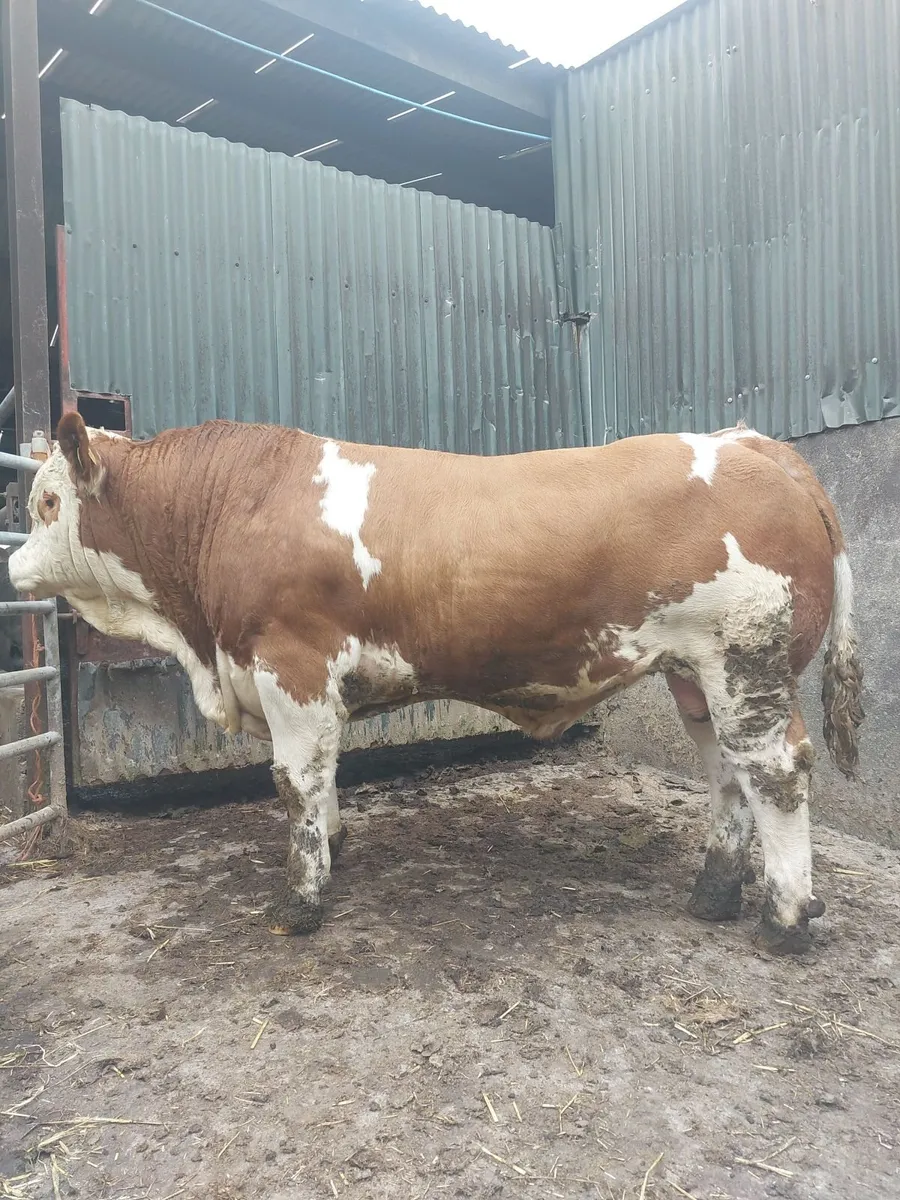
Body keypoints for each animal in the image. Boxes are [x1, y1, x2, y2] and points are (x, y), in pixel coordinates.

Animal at [8, 413, 863, 954]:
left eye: (48, 500)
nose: (13, 566)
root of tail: (753, 443)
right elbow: (325, 775)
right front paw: (334, 849)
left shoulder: (291, 666)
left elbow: (293, 781)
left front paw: (300, 900)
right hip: (698, 677)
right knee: (727, 775)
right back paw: (714, 893)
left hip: (747, 666)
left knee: (775, 774)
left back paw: (785, 920)